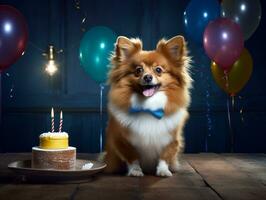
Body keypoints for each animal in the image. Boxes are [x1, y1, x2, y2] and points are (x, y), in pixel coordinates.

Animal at [103, 35, 191, 177]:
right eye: (139, 70)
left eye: (158, 70)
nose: (148, 77)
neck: (148, 106)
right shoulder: (121, 140)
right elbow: (132, 157)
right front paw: (135, 171)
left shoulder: (171, 139)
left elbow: (164, 156)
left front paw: (163, 171)